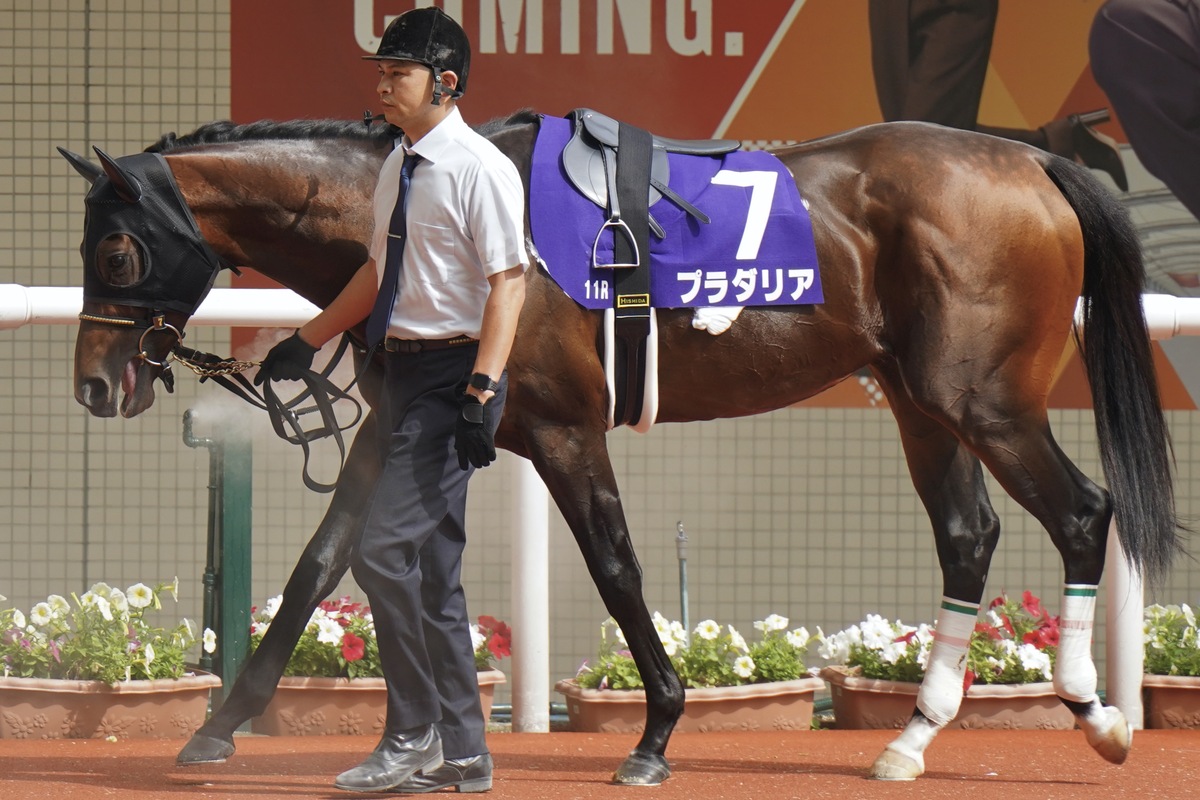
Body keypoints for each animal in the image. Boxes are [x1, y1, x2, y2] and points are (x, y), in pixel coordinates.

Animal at [60, 110, 1176, 782]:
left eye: (114, 249)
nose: (93, 386)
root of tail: (1029, 159)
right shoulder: (394, 423)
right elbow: (318, 565)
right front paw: (218, 725)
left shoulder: (562, 428)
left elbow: (616, 566)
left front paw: (658, 727)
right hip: (920, 401)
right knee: (967, 536)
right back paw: (911, 736)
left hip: (982, 401)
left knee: (1083, 512)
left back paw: (1097, 712)